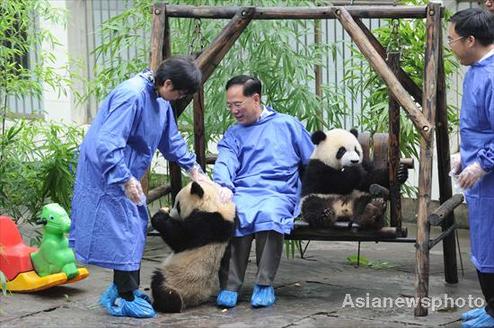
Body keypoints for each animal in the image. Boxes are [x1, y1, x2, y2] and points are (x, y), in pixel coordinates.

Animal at [151, 182, 235, 312]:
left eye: (178, 205)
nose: (171, 213)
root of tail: (192, 300)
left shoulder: (206, 224)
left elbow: (179, 238)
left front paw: (159, 216)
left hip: (177, 278)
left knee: (161, 286)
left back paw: (164, 304)